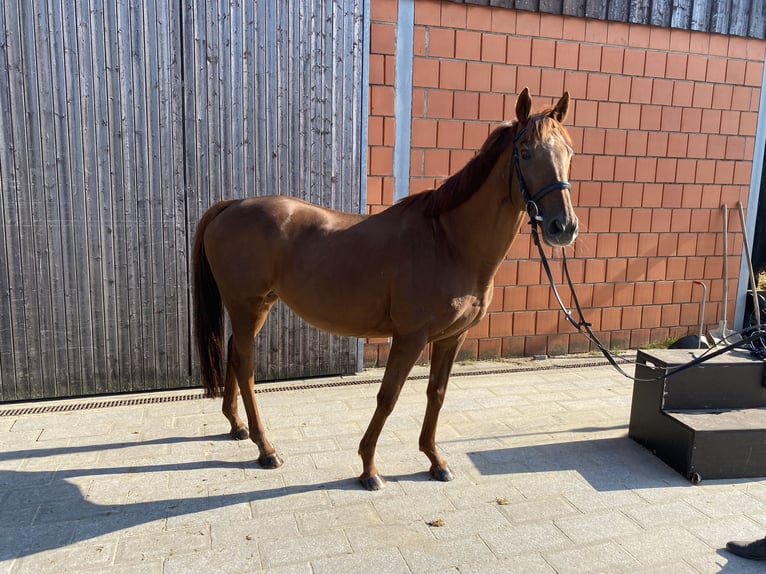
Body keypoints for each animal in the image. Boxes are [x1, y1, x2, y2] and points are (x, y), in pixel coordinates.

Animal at [195, 89, 580, 490]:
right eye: (525, 152)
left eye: (569, 153)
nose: (563, 227)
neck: (449, 242)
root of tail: (232, 205)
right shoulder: (410, 336)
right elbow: (388, 397)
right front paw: (369, 468)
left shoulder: (451, 338)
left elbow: (436, 394)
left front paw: (435, 460)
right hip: (247, 306)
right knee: (245, 366)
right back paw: (266, 448)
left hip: (258, 306)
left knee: (234, 354)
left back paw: (237, 427)